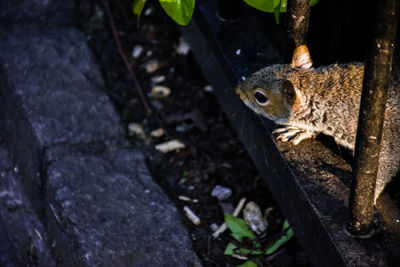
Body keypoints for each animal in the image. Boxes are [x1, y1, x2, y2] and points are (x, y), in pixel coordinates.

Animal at [236, 45, 398, 203]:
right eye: (265, 68)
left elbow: (387, 162)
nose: (238, 91)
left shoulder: (386, 136)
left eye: (260, 97)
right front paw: (300, 130)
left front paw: (369, 194)